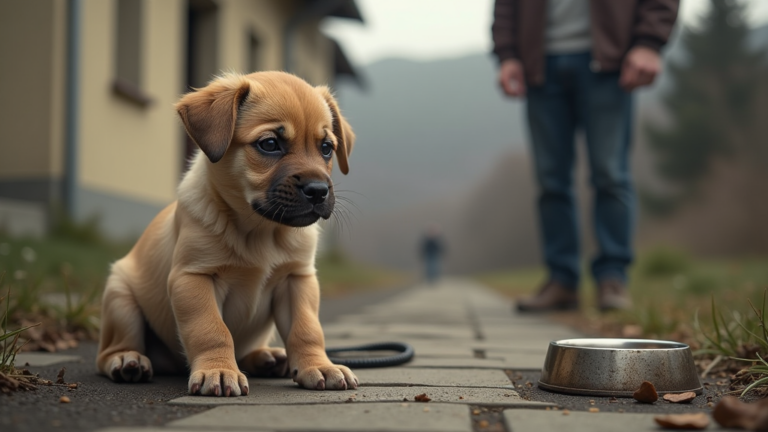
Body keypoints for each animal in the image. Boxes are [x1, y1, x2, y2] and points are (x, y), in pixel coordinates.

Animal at [96, 71, 356, 398]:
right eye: (270, 144)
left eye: (326, 147)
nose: (319, 191)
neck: (260, 231)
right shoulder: (194, 278)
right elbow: (212, 330)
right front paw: (218, 371)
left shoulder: (297, 280)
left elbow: (306, 329)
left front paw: (318, 365)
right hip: (120, 298)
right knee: (109, 351)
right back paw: (127, 359)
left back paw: (268, 357)